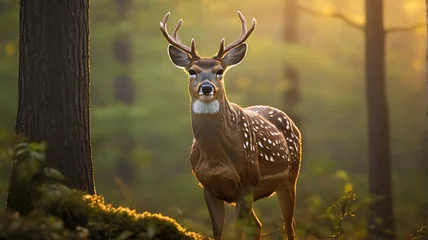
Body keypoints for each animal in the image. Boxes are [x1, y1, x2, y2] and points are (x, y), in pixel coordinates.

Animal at [159, 10, 302, 239]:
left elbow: (237, 232)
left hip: (290, 177)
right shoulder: (207, 185)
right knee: (258, 225)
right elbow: (218, 231)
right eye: (192, 71)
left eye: (220, 71)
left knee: (289, 224)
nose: (206, 87)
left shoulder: (247, 181)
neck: (218, 159)